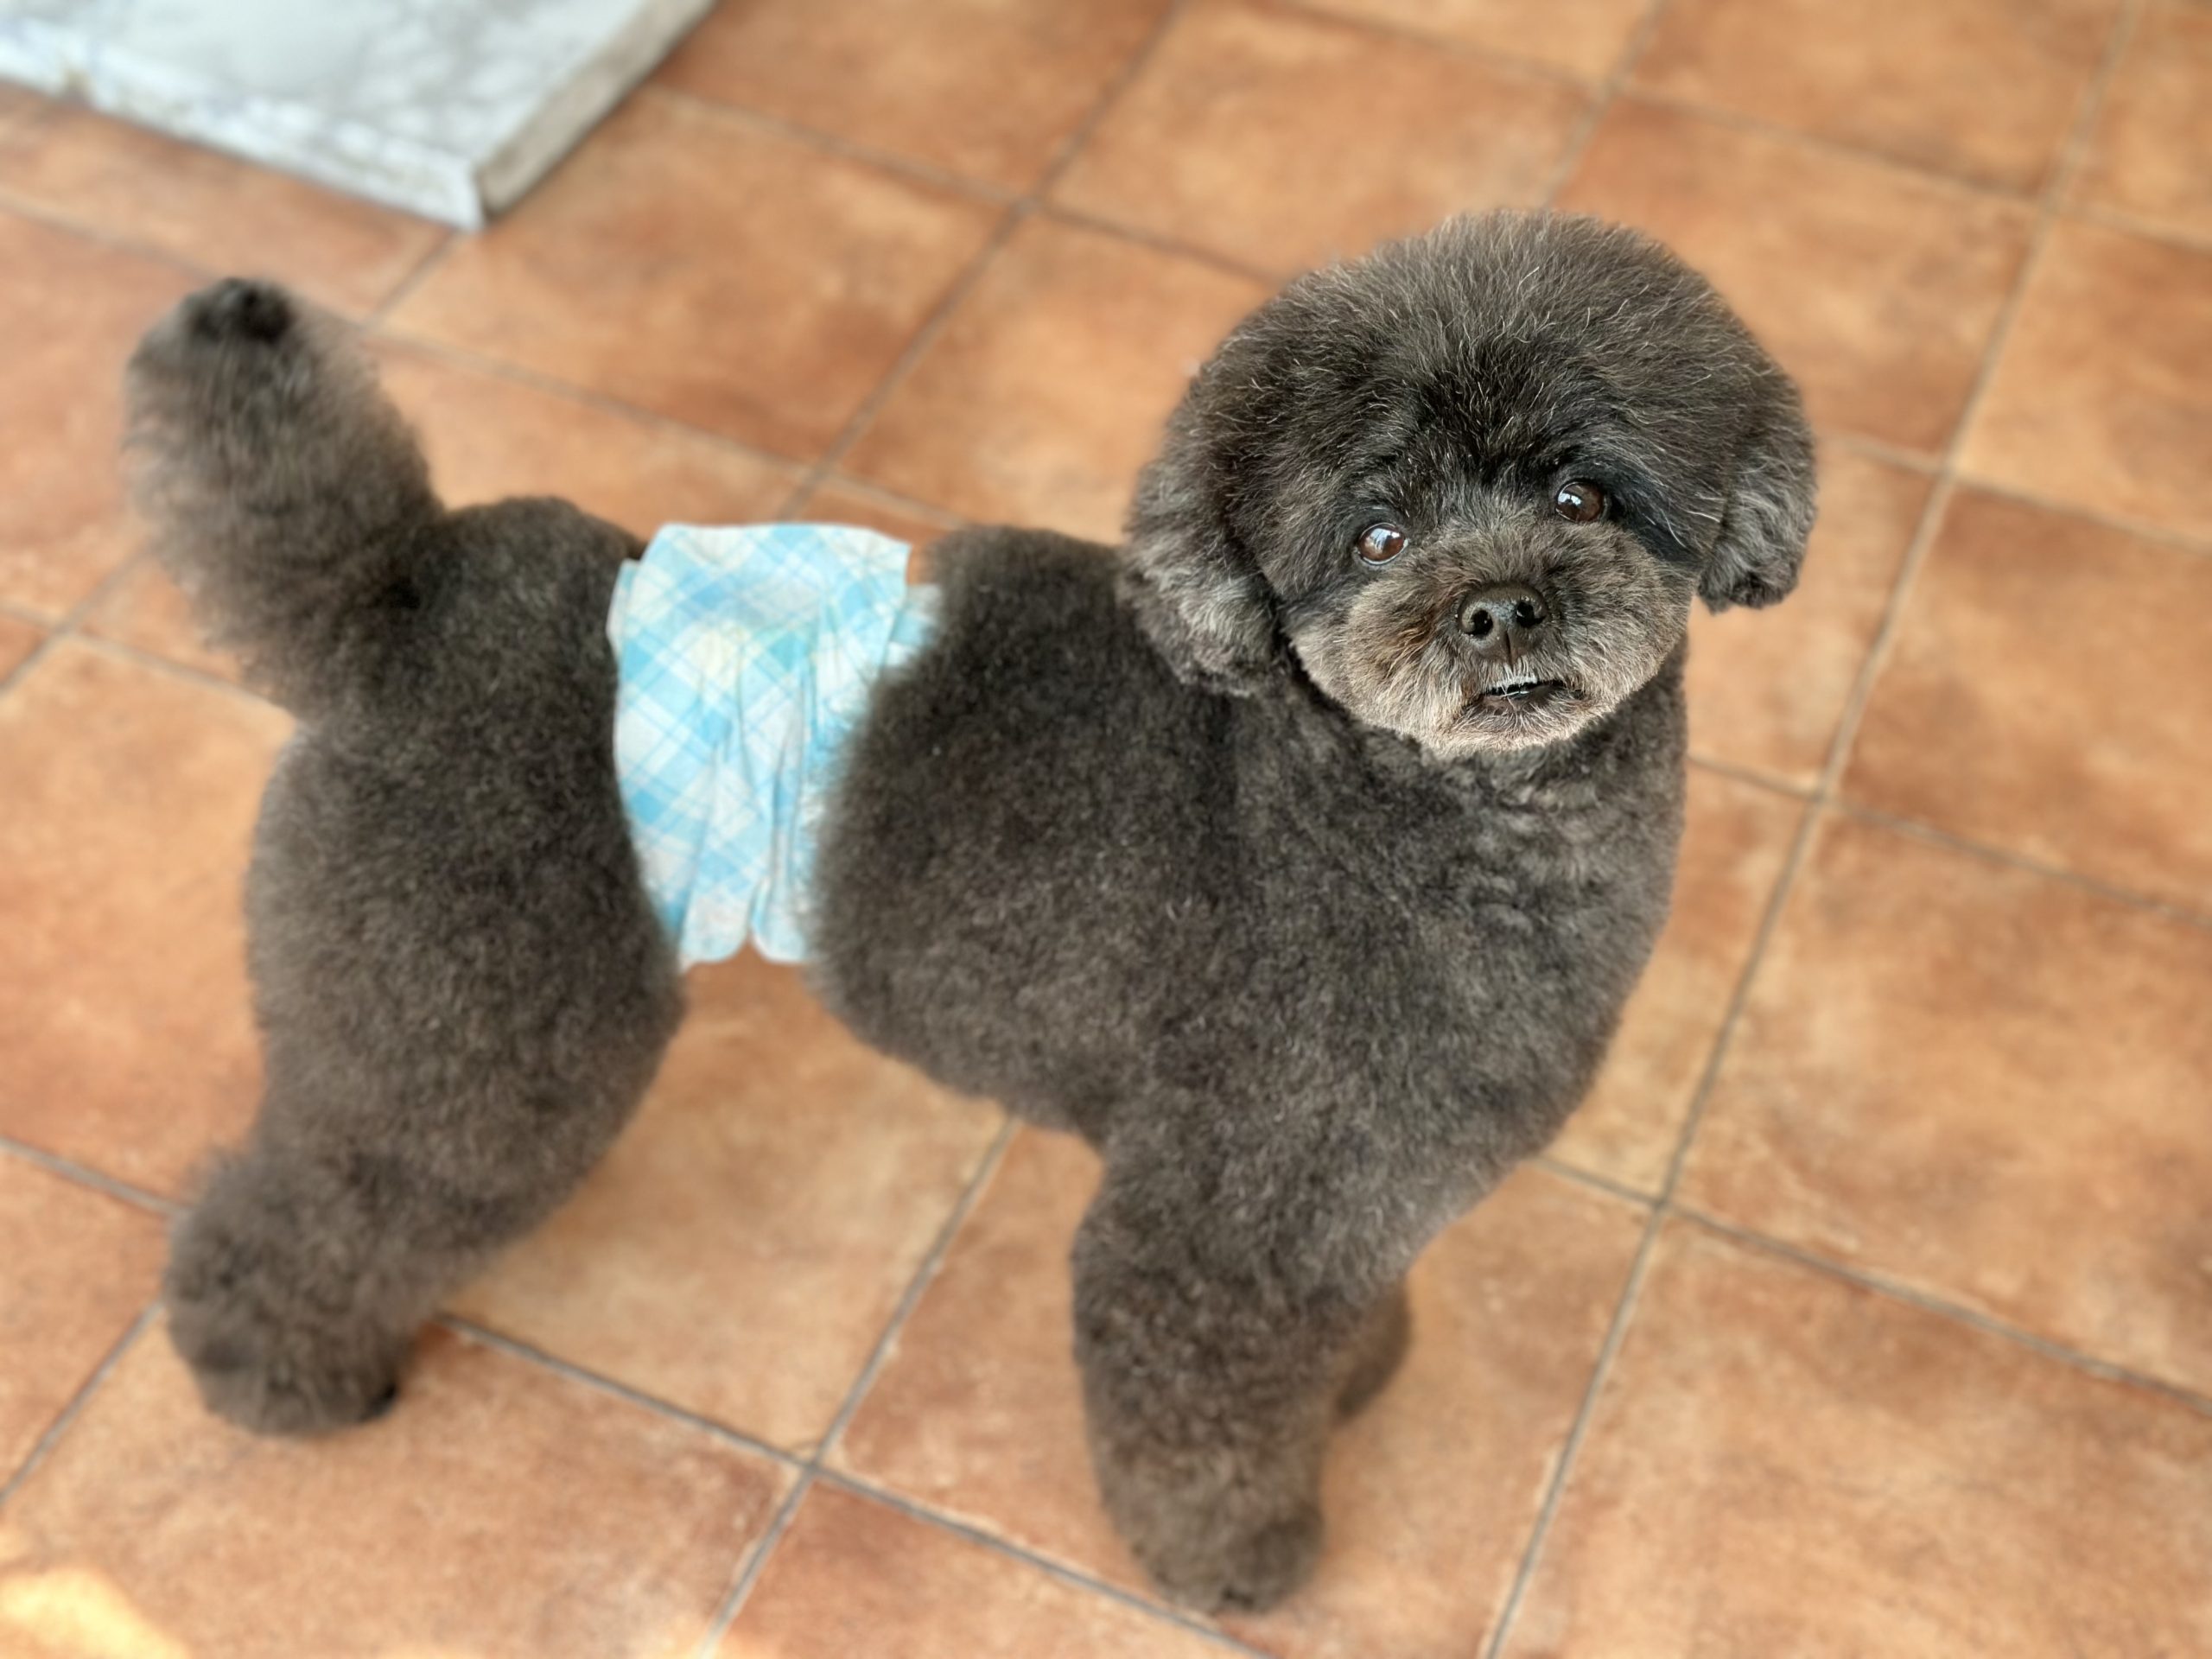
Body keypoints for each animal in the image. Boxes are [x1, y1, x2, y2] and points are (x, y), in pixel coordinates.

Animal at [124, 211, 1814, 1615]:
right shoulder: (1210, 1235)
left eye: (1581, 491)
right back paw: (273, 1377)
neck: (1426, 812)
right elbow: (1202, 1430)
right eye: (1377, 537)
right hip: (469, 1038)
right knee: (330, 1202)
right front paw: (1237, 1563)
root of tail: (394, 590)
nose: (1499, 607)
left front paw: (1359, 1378)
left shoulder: (1339, 1208)